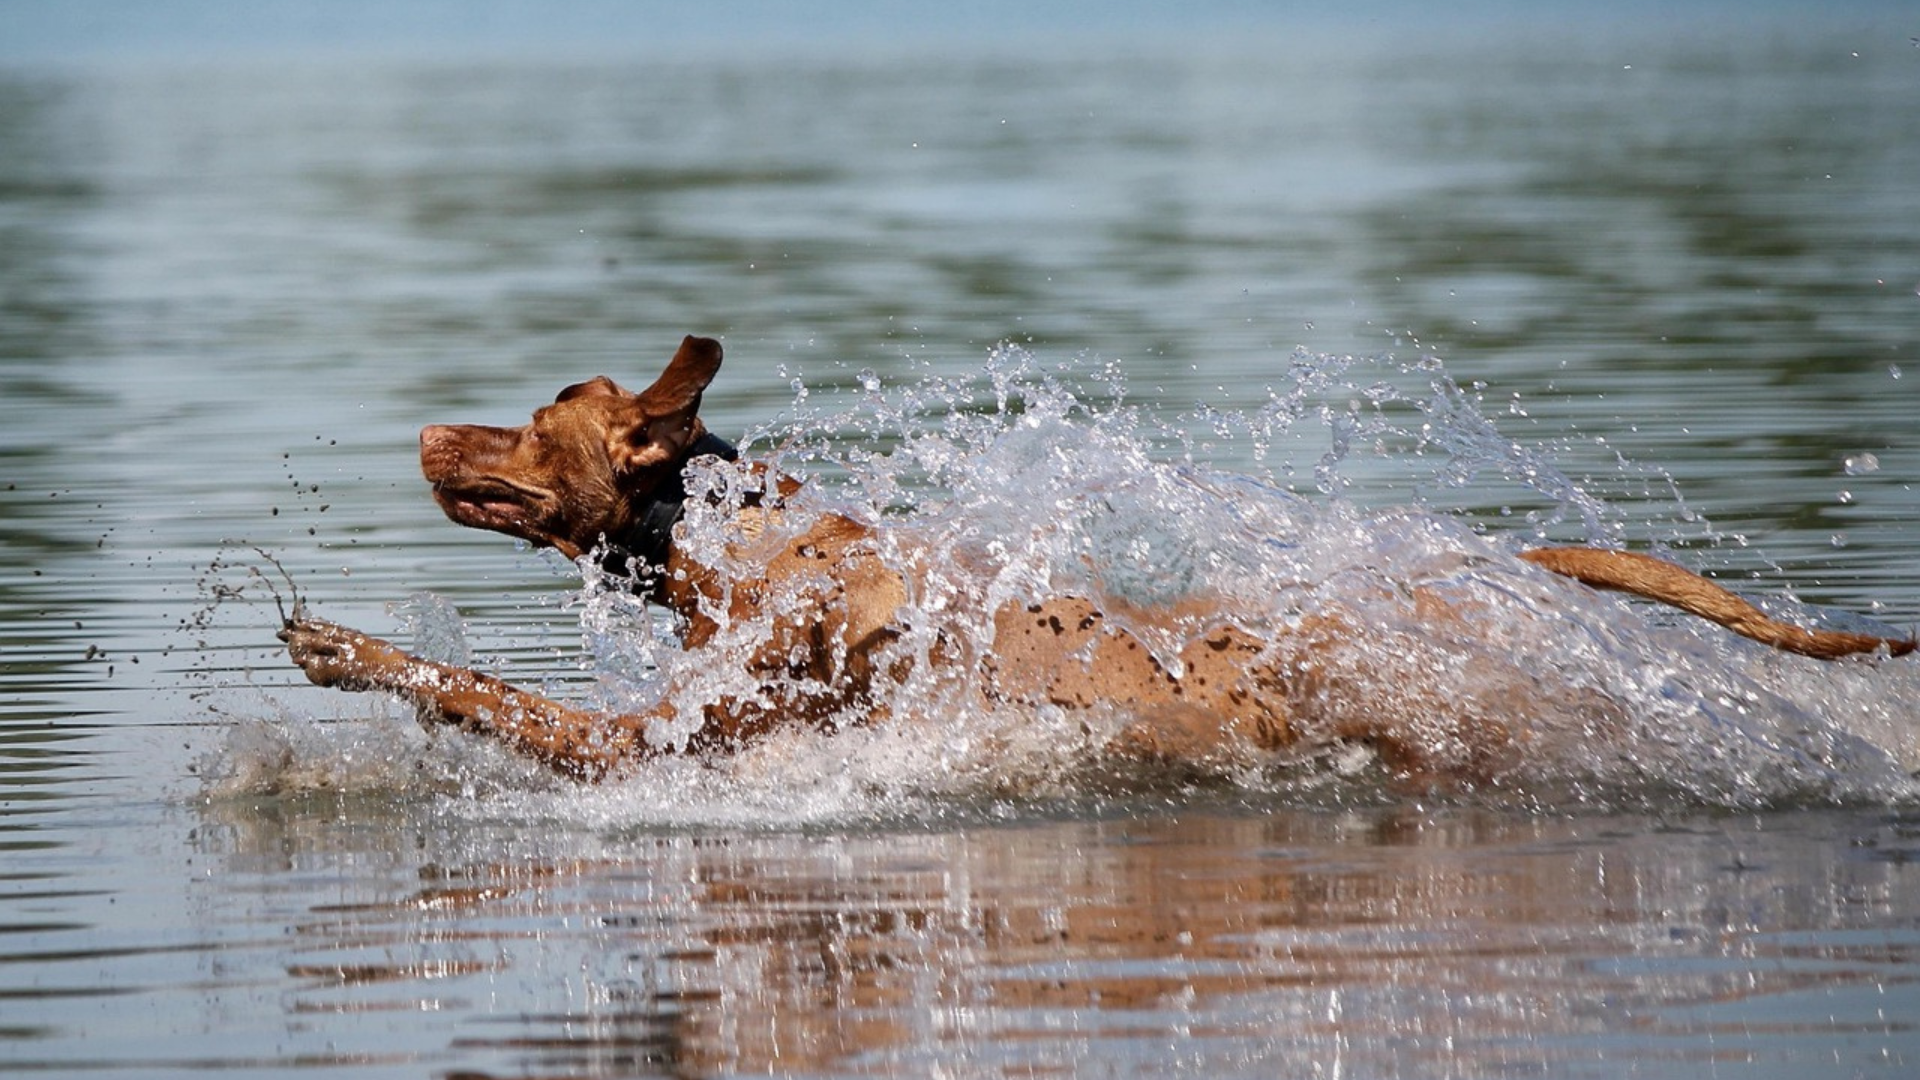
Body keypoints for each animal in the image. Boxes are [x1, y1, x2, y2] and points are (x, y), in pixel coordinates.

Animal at [280, 336, 1913, 784]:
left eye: (540, 409)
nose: (423, 425)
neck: (728, 541)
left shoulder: (642, 743)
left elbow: (477, 689)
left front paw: (341, 649)